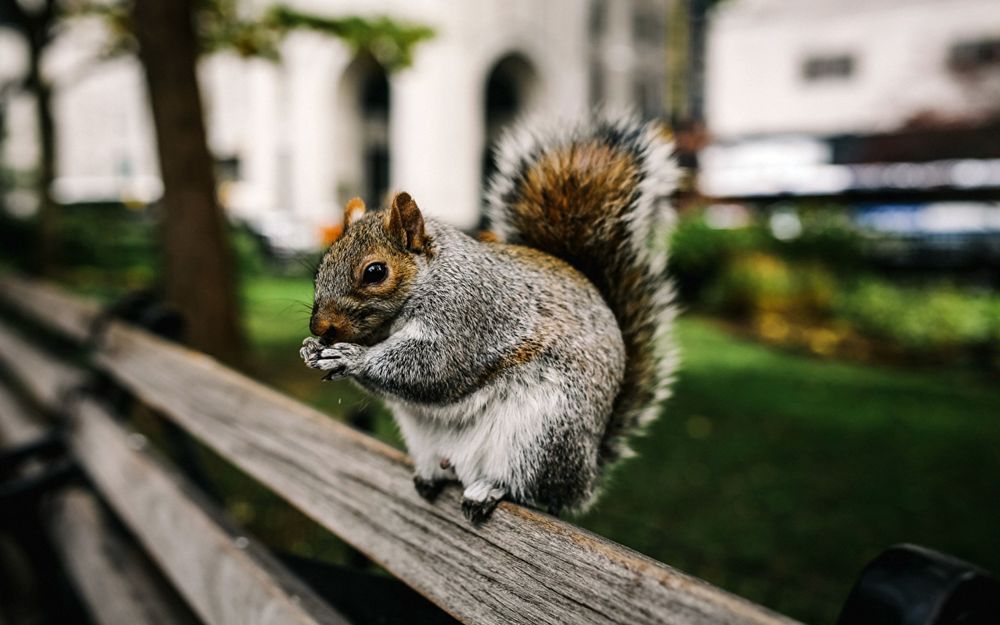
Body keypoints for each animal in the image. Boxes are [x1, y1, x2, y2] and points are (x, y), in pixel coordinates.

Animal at [300, 115, 679, 523]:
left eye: (375, 272)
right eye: (321, 265)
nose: (320, 327)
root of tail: (585, 477)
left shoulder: (470, 316)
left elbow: (433, 368)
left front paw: (350, 357)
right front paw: (312, 350)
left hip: (542, 435)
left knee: (528, 486)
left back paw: (488, 489)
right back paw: (431, 476)